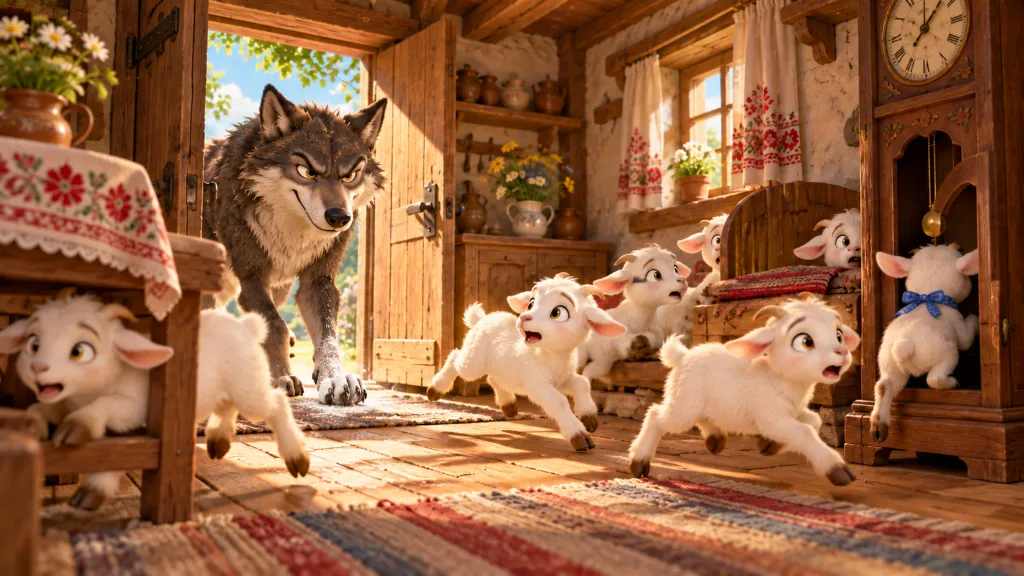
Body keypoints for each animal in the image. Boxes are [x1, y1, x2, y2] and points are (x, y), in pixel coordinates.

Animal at [203, 84, 386, 406]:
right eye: (308, 171)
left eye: (350, 175)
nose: (339, 218)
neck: (292, 235)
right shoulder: (251, 277)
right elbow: (275, 325)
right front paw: (280, 378)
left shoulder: (317, 281)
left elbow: (327, 336)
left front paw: (335, 378)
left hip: (280, 288)